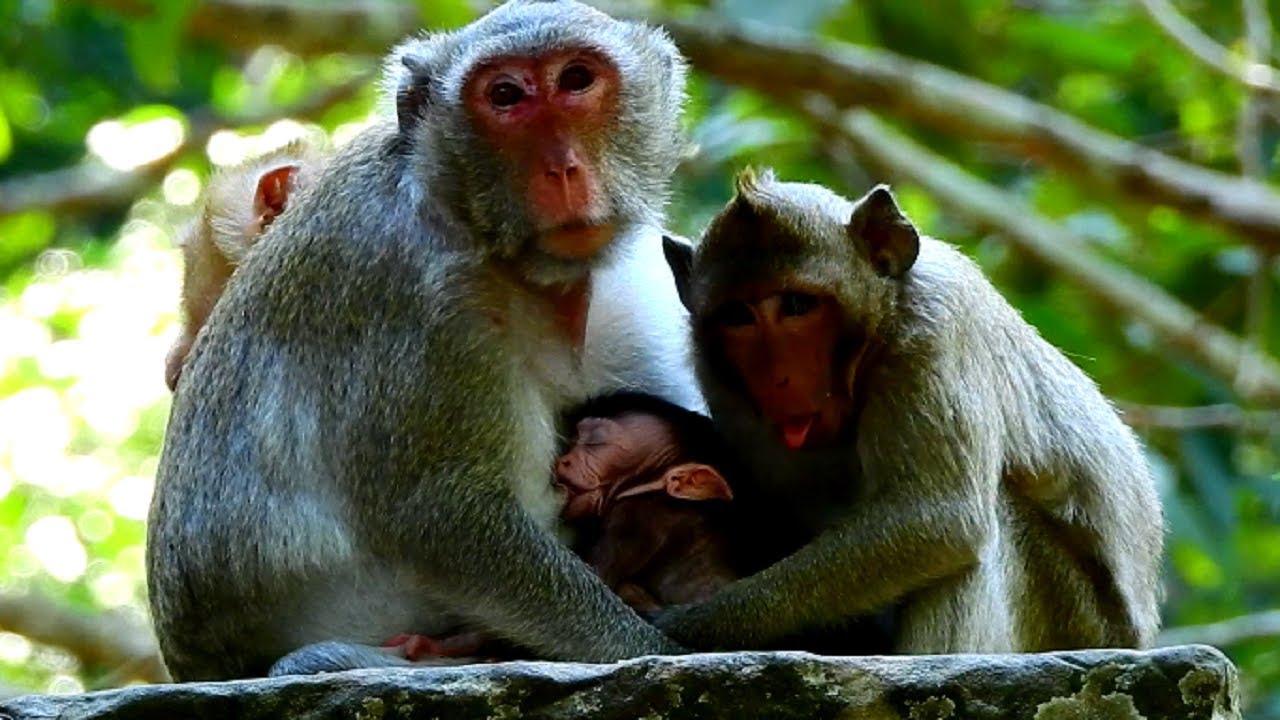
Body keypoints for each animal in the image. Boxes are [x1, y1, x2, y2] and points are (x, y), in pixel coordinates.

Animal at [658, 169, 1165, 654]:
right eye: (738, 317)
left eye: (797, 305)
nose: (775, 378)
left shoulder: (934, 329)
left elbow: (939, 519)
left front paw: (702, 622)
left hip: (1075, 618)